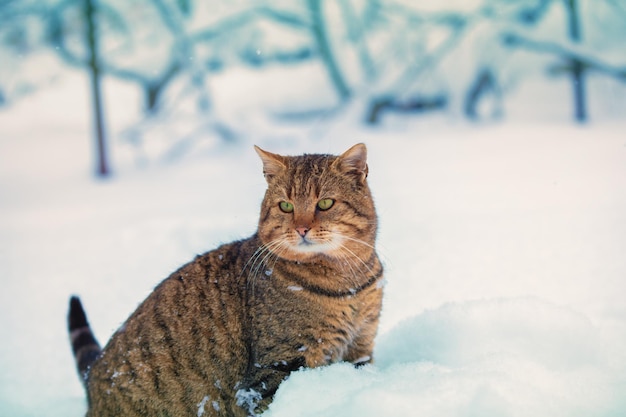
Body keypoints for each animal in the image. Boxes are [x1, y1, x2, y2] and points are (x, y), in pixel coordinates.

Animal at [67, 144, 380, 416]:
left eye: (325, 203)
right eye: (286, 206)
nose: (302, 228)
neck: (347, 283)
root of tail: (93, 374)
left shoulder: (361, 347)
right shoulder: (276, 366)